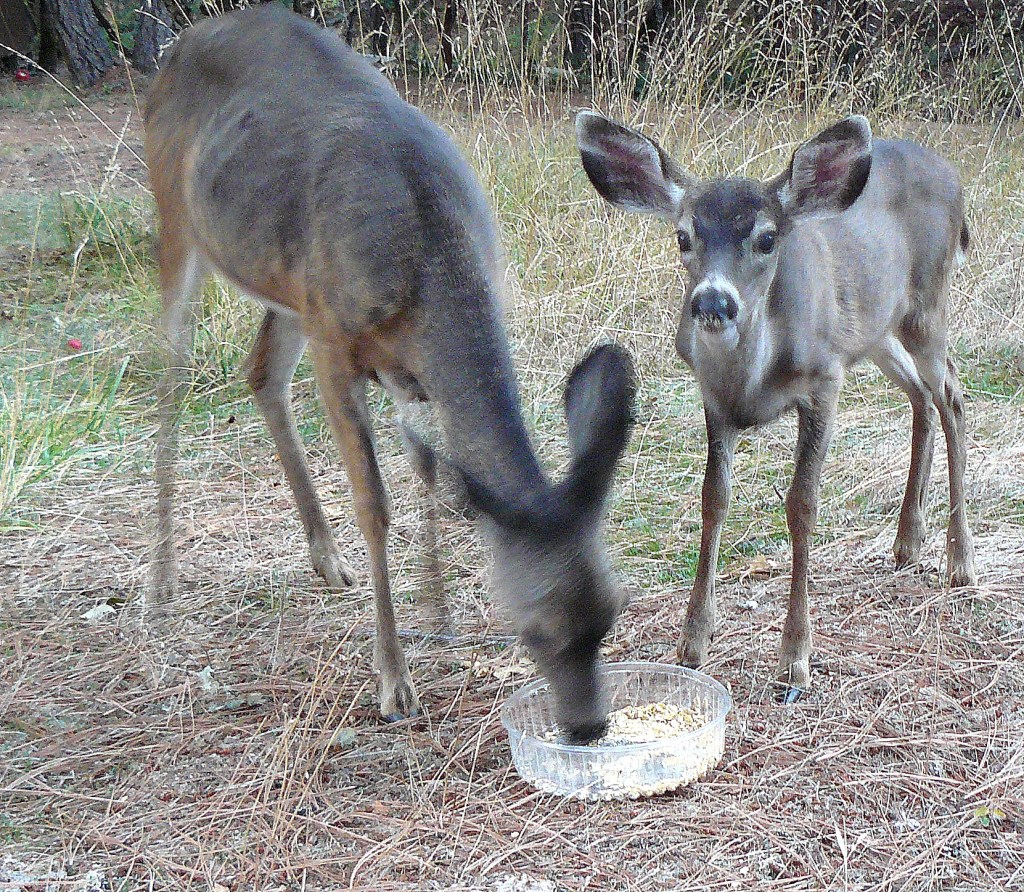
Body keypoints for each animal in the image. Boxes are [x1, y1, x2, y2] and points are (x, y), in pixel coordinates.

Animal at [144, 6, 637, 743]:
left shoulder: (409, 368)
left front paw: (441, 615)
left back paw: (325, 558)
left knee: (259, 371)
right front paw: (394, 681)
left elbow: (431, 474)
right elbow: (376, 504)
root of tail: (180, 43)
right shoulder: (336, 344)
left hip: (287, 284)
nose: (588, 728)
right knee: (169, 378)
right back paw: (162, 580)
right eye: (535, 632)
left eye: (611, 612)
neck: (429, 256)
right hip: (178, 219)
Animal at [575, 111, 977, 698]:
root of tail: (951, 174)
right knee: (921, 397)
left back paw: (960, 559)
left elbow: (802, 504)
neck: (752, 379)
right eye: (683, 235)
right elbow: (713, 499)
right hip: (875, 330)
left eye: (766, 239)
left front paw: (795, 656)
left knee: (953, 398)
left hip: (927, 307)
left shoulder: (824, 379)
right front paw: (693, 640)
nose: (713, 301)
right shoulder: (714, 400)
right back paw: (907, 542)